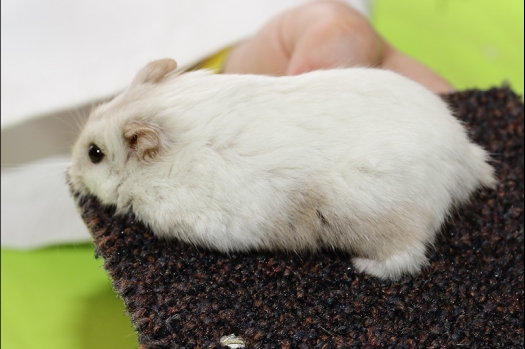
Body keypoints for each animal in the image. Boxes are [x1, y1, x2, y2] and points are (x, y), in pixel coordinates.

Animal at [67, 58, 494, 278]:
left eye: (94, 153)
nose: (68, 174)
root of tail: (463, 158)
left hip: (381, 224)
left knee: (406, 258)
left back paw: (361, 266)